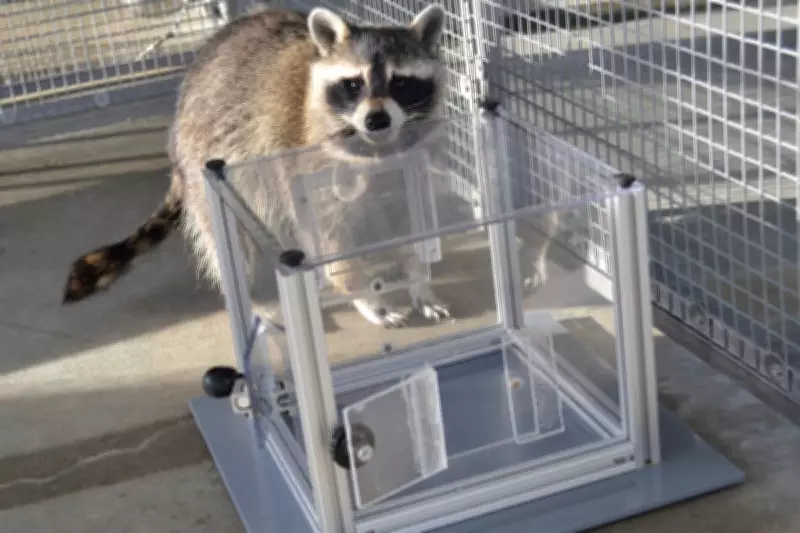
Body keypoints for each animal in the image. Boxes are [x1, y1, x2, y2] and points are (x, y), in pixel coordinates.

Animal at [62, 5, 450, 328]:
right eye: (354, 84)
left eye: (400, 82)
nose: (376, 120)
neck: (377, 148)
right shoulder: (307, 163)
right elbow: (330, 238)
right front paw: (366, 293)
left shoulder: (410, 165)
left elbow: (409, 221)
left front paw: (418, 277)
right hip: (207, 161)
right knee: (232, 243)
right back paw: (253, 300)